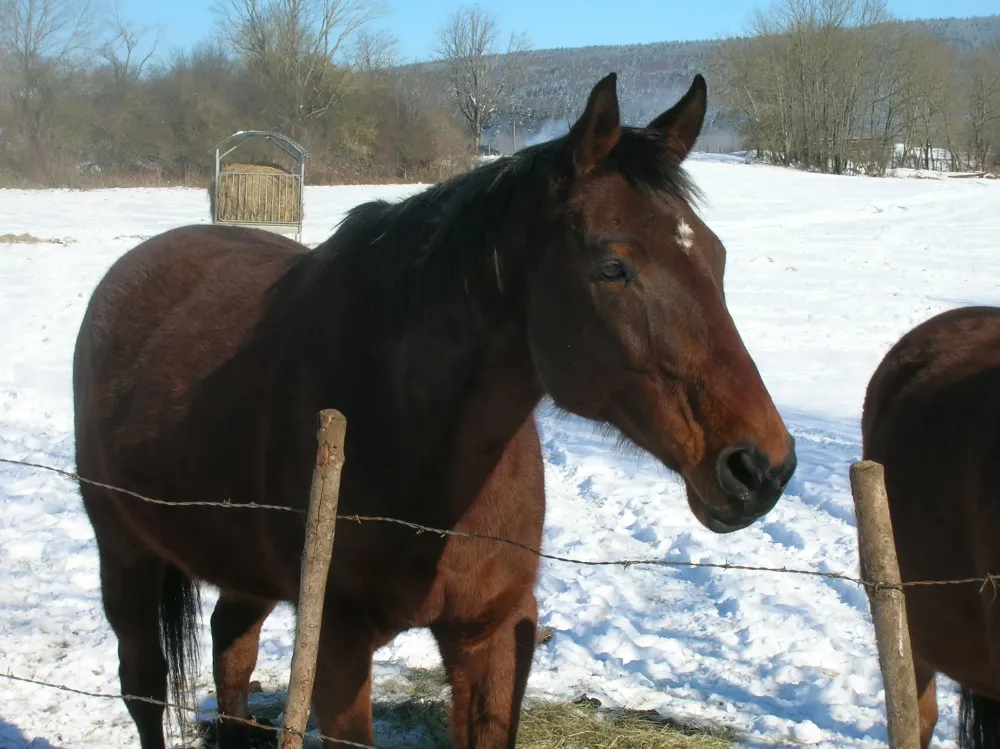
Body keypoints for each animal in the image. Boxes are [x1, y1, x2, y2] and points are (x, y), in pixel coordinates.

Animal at [72, 71, 797, 749]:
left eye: (716, 256)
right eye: (613, 267)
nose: (761, 467)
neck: (413, 438)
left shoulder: (494, 633)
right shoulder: (337, 643)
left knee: (232, 652)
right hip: (124, 551)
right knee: (144, 686)